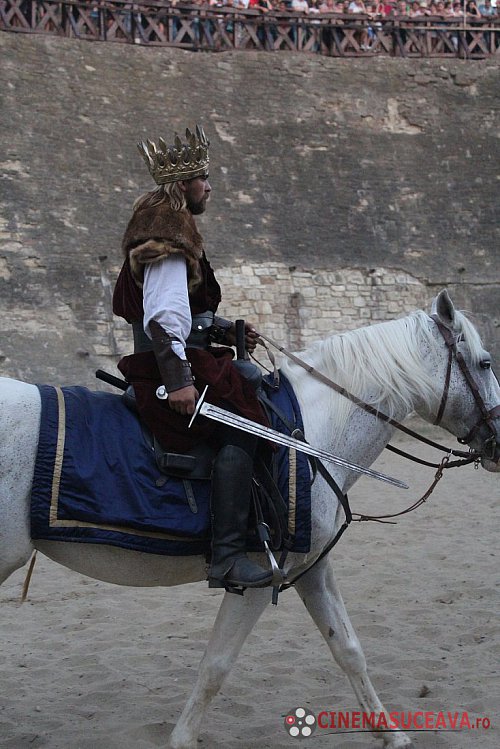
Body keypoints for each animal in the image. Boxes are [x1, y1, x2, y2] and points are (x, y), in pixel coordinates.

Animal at [0, 288, 498, 748]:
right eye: (486, 362)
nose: (498, 442)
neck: (310, 436)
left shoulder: (309, 568)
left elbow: (348, 647)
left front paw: (391, 733)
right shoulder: (262, 575)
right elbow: (217, 664)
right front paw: (182, 739)